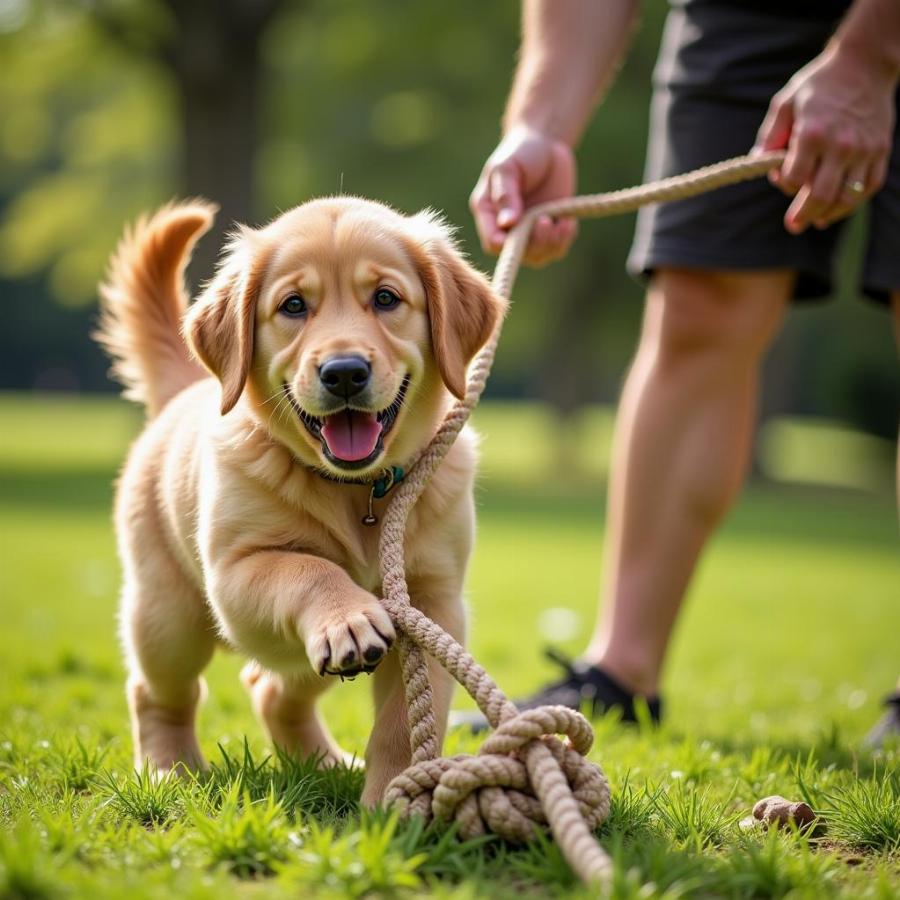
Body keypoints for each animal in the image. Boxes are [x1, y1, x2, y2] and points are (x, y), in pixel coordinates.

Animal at [99, 197, 506, 800]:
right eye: (293, 306)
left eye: (386, 298)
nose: (344, 373)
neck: (357, 490)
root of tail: (184, 392)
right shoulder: (237, 572)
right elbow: (308, 569)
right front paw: (348, 616)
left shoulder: (433, 603)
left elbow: (404, 724)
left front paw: (392, 799)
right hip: (168, 617)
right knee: (159, 691)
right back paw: (169, 766)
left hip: (299, 658)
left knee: (270, 687)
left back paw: (326, 763)